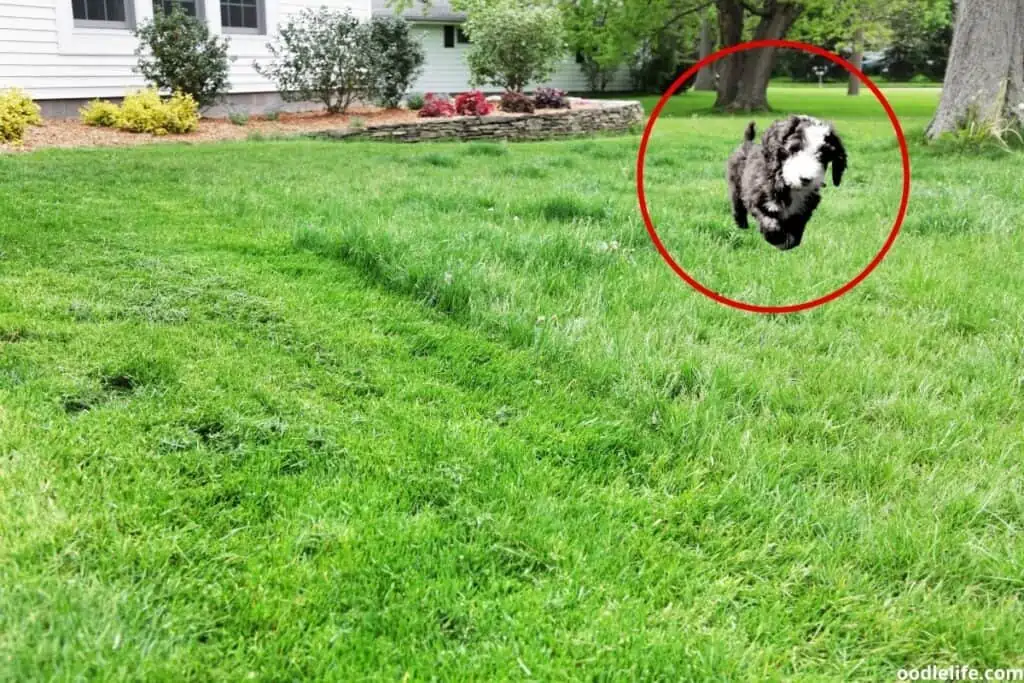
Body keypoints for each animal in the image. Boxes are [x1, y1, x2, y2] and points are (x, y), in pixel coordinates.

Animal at [729, 114, 847, 250]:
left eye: (822, 156)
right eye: (794, 149)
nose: (806, 179)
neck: (791, 188)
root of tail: (748, 142)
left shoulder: (803, 211)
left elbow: (796, 229)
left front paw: (790, 242)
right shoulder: (757, 199)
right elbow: (769, 221)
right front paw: (777, 238)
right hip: (735, 185)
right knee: (737, 206)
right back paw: (742, 225)